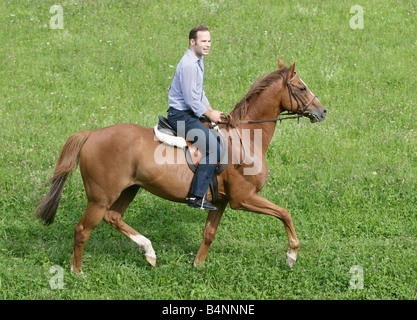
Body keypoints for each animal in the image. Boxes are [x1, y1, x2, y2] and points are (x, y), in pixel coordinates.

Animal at [35, 58, 326, 274]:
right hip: (100, 197)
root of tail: (92, 134)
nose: (322, 111)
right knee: (82, 230)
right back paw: (77, 272)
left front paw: (197, 265)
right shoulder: (243, 198)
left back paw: (150, 252)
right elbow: (284, 213)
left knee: (114, 217)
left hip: (129, 189)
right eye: (301, 88)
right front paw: (291, 254)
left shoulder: (221, 201)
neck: (245, 137)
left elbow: (209, 233)